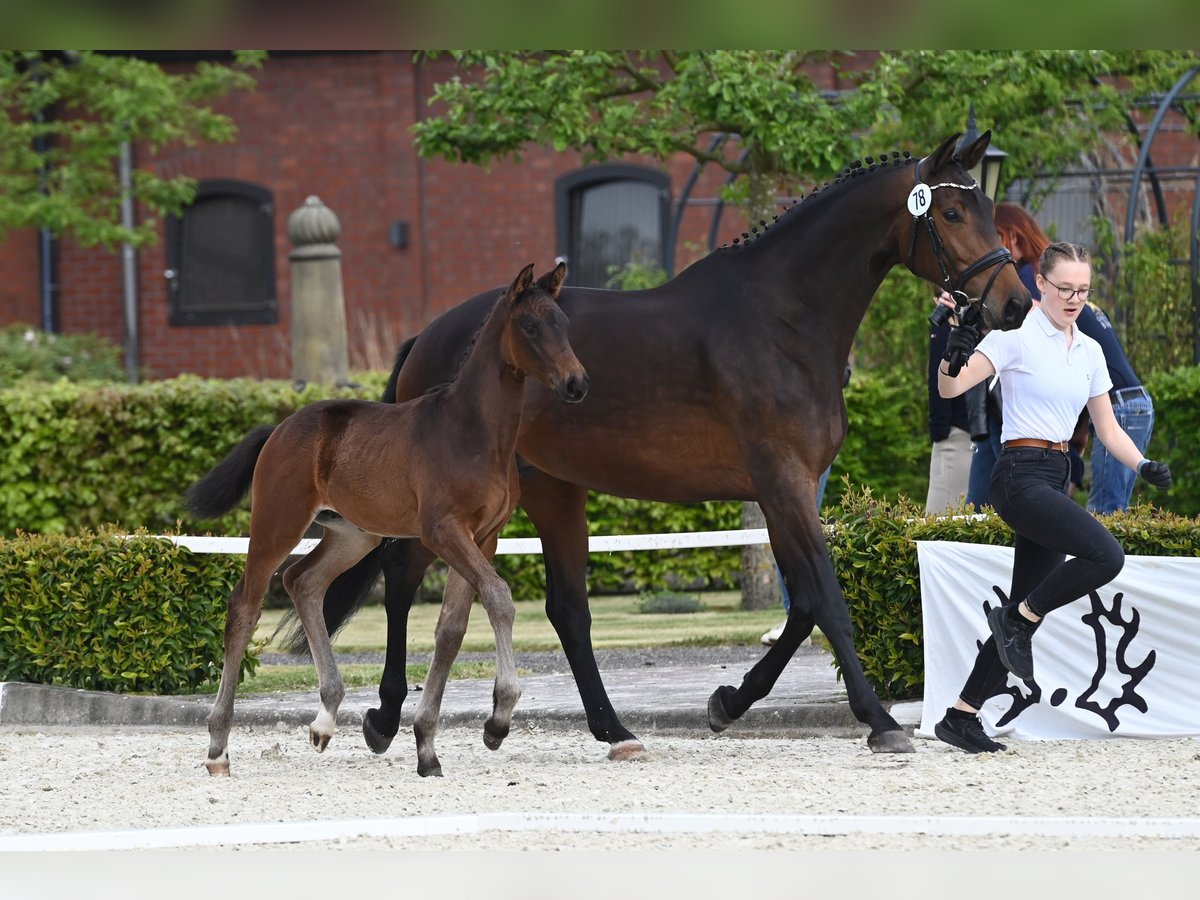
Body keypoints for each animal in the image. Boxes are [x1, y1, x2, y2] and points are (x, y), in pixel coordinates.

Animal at [181, 264, 585, 777]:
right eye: (530, 326)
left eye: (564, 325)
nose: (576, 383)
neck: (474, 431)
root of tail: (279, 429)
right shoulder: (442, 531)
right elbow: (499, 597)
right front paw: (498, 718)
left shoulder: (483, 536)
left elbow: (452, 628)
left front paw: (429, 748)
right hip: (278, 523)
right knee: (245, 606)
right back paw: (218, 748)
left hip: (355, 535)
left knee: (303, 581)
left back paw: (325, 719)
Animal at [304, 132, 1027, 763]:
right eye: (953, 211)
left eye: (985, 208)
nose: (1015, 303)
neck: (782, 320)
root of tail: (428, 336)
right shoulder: (784, 481)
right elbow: (825, 598)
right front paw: (879, 721)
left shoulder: (778, 492)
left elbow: (803, 606)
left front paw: (728, 701)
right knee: (404, 579)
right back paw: (384, 716)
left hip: (543, 489)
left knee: (565, 609)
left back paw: (611, 729)